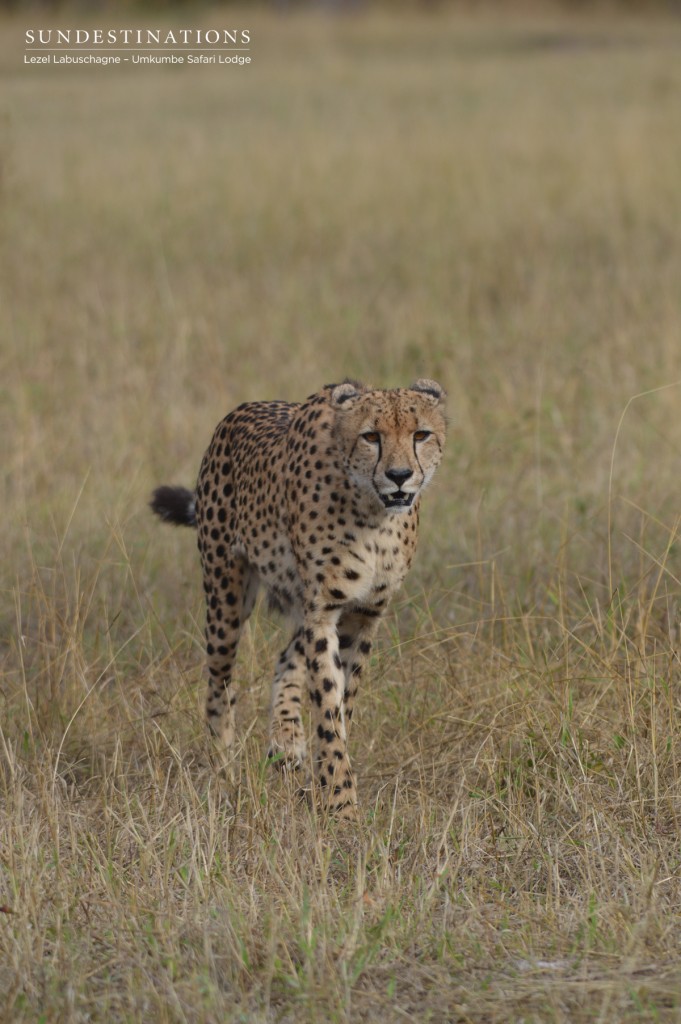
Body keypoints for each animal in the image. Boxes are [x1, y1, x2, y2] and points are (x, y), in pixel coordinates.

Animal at [150, 379, 446, 819]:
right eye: (371, 436)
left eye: (421, 434)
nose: (399, 476)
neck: (374, 516)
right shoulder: (323, 611)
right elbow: (326, 699)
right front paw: (341, 802)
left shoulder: (362, 614)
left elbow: (341, 701)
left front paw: (325, 783)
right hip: (226, 597)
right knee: (219, 684)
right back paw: (225, 769)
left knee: (285, 658)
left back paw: (286, 742)